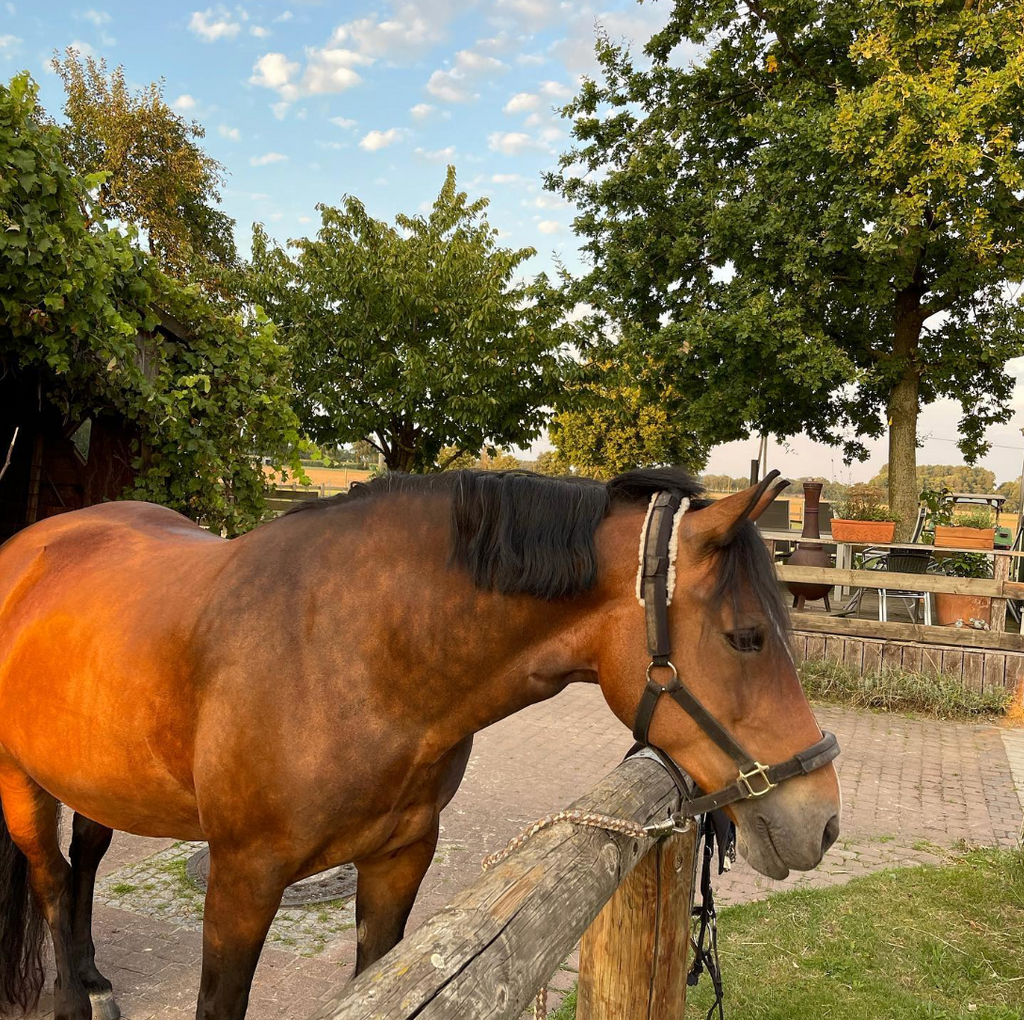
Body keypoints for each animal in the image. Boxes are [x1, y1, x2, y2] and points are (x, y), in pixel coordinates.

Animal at [0, 469, 839, 1020]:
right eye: (746, 636)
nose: (823, 820)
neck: (350, 650)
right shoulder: (242, 879)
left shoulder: (399, 859)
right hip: (22, 782)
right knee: (51, 879)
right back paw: (73, 999)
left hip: (101, 779)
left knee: (85, 863)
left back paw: (95, 977)